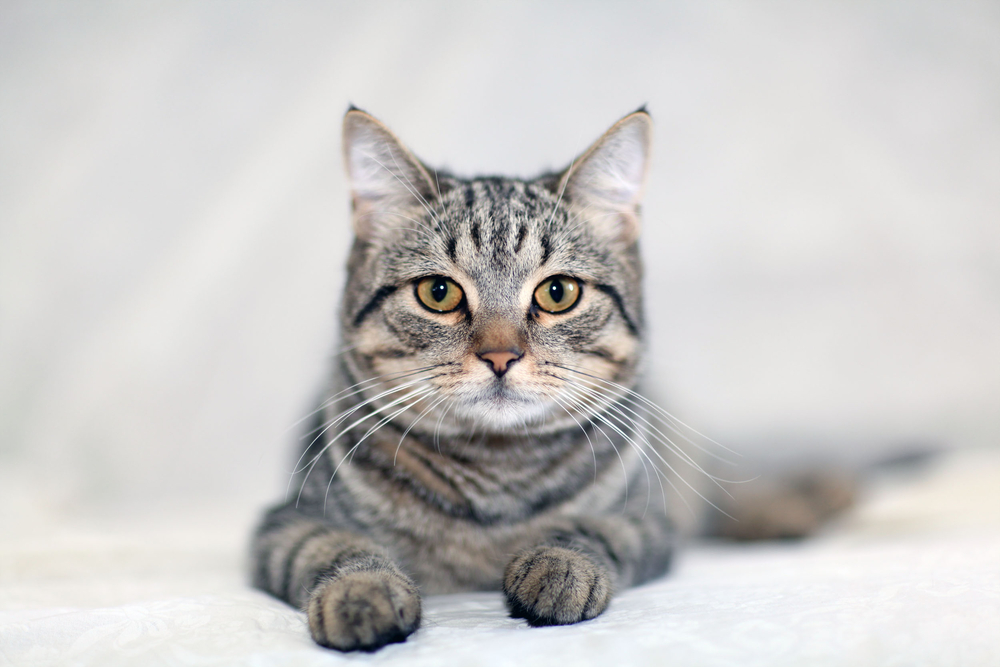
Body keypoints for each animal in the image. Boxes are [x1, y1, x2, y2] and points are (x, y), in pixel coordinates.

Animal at [246, 108, 848, 652]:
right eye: (438, 293)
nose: (500, 355)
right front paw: (360, 592)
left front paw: (559, 564)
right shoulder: (283, 523)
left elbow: (590, 529)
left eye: (558, 293)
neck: (497, 480)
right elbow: (333, 548)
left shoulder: (646, 522)